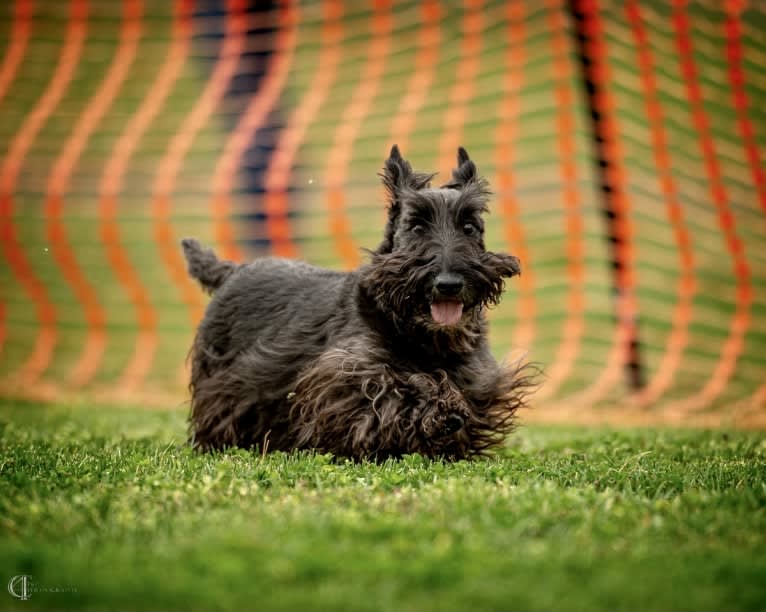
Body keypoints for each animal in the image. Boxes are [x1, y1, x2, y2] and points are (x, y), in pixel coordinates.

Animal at [183, 145, 536, 460]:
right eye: (416, 225)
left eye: (469, 226)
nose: (448, 284)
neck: (420, 334)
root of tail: (232, 271)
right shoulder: (350, 372)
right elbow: (400, 387)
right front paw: (442, 410)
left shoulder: (476, 376)